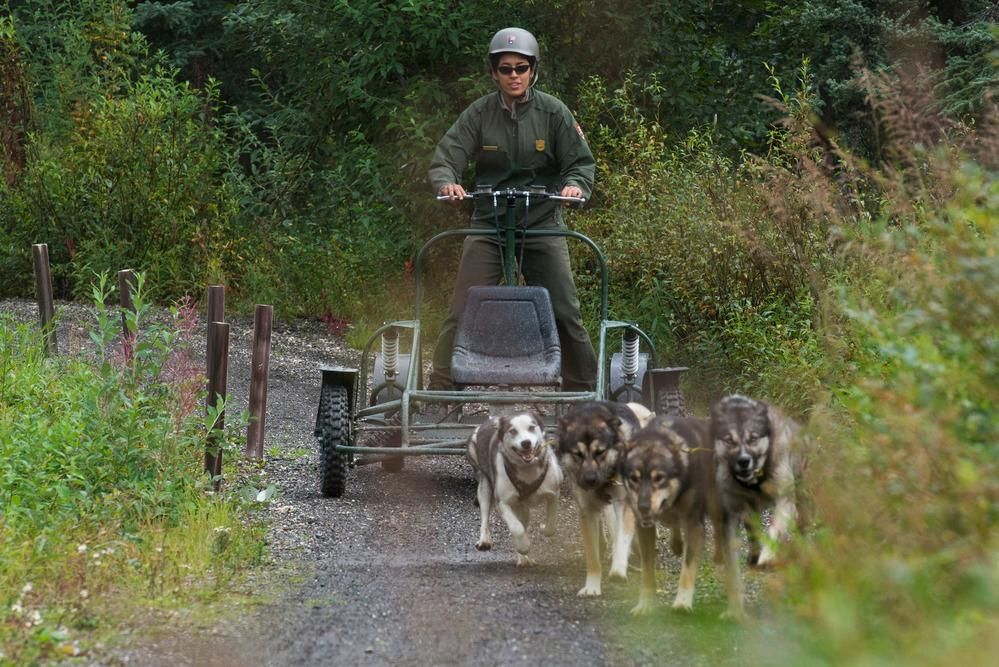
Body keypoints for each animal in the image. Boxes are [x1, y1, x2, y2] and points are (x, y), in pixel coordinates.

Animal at [466, 410, 564, 568]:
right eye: (512, 431)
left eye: (531, 427)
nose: (526, 443)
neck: (528, 470)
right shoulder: (503, 502)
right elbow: (517, 528)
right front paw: (523, 545)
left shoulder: (554, 493)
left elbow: (551, 524)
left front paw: (544, 528)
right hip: (485, 488)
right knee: (485, 516)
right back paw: (485, 540)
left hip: (523, 507)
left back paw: (524, 559)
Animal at [556, 400, 656, 596]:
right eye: (577, 454)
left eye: (600, 452)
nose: (590, 479)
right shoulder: (587, 511)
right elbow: (593, 556)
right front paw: (592, 586)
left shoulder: (624, 503)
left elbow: (622, 539)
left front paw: (618, 569)